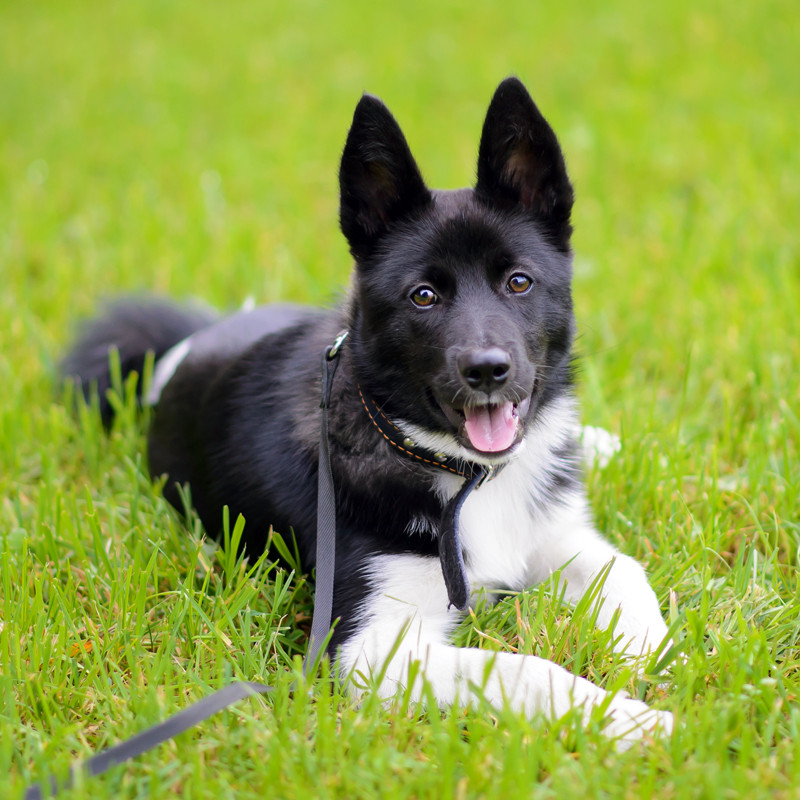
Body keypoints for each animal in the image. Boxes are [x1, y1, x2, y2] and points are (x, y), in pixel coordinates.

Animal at [64, 76, 676, 744]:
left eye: (519, 282)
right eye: (424, 296)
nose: (488, 370)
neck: (464, 473)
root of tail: (193, 342)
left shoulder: (560, 537)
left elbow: (626, 569)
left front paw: (651, 658)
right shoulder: (370, 649)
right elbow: (521, 669)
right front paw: (626, 716)